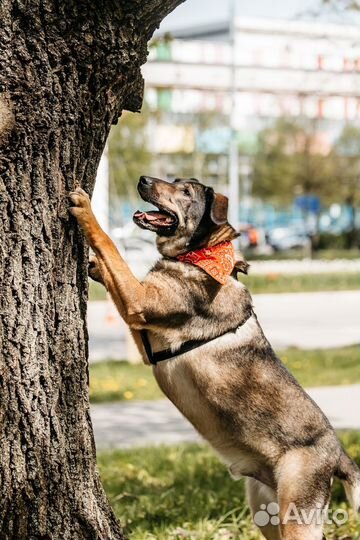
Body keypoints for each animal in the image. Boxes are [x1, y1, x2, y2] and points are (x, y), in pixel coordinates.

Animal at [68, 175, 360, 536]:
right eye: (175, 181)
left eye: (185, 191)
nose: (143, 179)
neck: (199, 254)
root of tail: (339, 454)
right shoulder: (142, 327)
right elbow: (113, 270)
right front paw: (94, 266)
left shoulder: (139, 302)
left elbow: (111, 247)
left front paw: (86, 211)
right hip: (263, 510)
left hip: (296, 515)